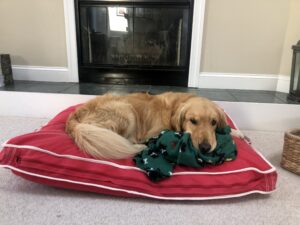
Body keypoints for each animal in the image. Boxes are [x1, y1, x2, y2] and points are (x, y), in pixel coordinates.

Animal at [65, 92, 244, 160]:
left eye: (213, 122)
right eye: (193, 121)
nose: (205, 147)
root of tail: (73, 120)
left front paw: (238, 132)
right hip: (127, 111)